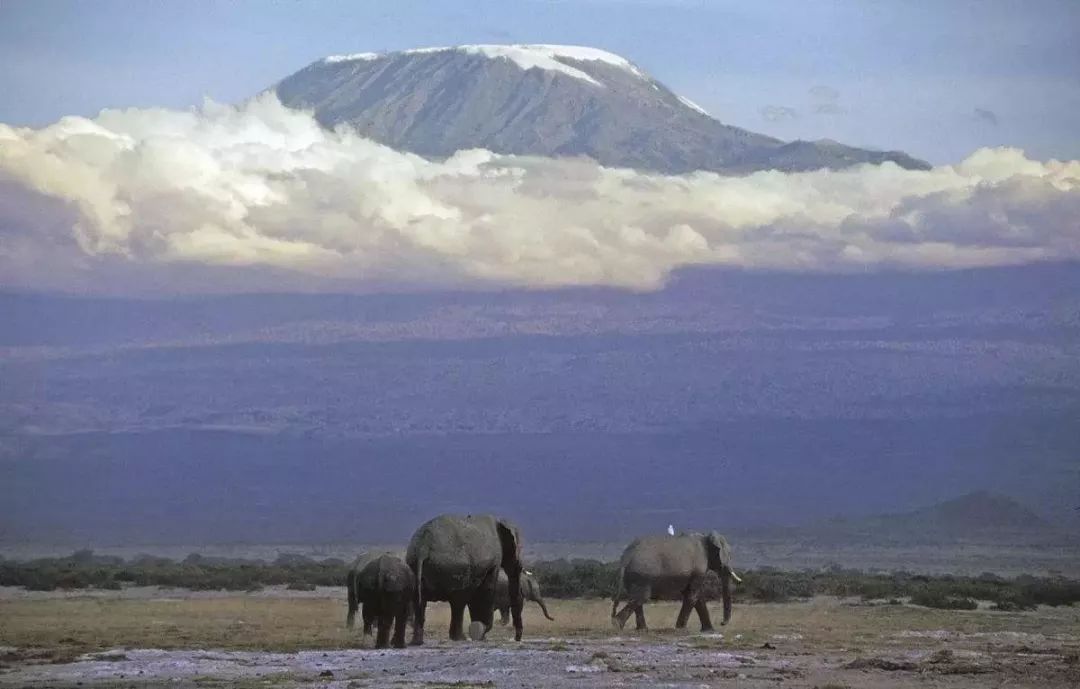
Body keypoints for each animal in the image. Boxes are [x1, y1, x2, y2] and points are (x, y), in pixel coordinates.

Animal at [406, 514, 527, 647]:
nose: (516, 639)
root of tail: (423, 548)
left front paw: (480, 633)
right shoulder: (493, 562)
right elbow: (485, 591)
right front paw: (481, 631)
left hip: (414, 567)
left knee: (420, 602)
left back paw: (417, 642)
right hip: (455, 568)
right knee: (459, 601)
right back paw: (460, 638)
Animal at [609, 531, 743, 635]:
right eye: (729, 555)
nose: (722, 623)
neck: (706, 537)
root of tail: (626, 557)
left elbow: (698, 598)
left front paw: (709, 631)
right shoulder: (698, 570)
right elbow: (692, 596)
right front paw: (681, 629)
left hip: (633, 576)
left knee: (636, 599)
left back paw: (642, 629)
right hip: (642, 575)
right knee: (641, 598)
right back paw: (617, 625)